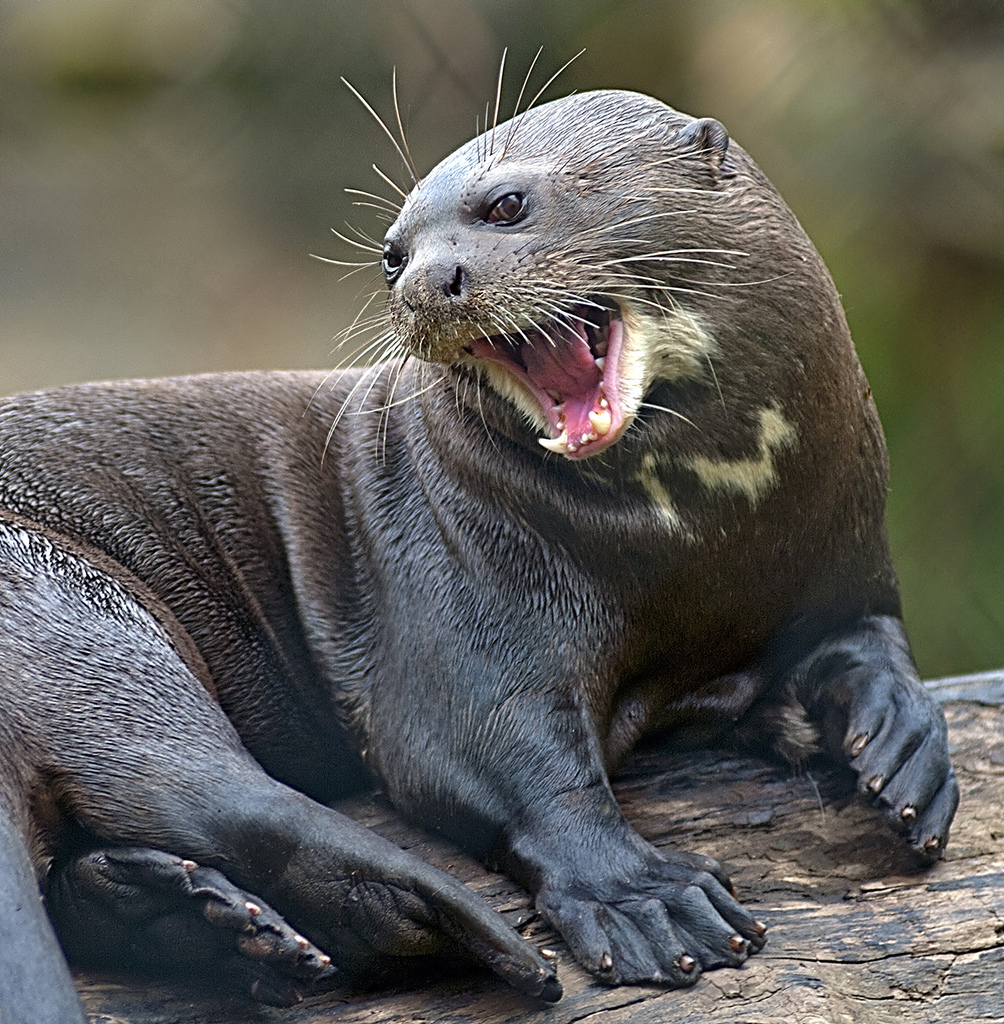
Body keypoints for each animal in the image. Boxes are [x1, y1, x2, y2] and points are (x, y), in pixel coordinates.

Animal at [0, 90, 958, 1024]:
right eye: (392, 256)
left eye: (506, 205)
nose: (428, 280)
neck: (701, 552)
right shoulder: (457, 587)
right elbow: (500, 756)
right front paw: (640, 896)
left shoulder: (840, 563)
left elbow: (872, 641)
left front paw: (905, 746)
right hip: (77, 610)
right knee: (219, 793)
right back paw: (455, 929)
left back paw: (204, 921)